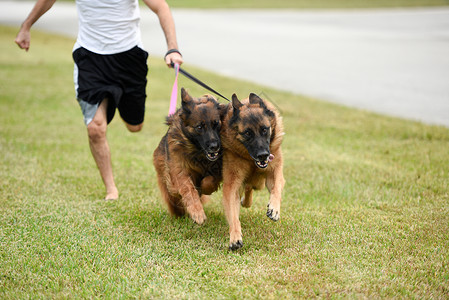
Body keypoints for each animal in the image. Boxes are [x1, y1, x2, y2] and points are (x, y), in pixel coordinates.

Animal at [153, 88, 224, 224]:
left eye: (216, 123)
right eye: (199, 127)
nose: (215, 146)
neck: (198, 153)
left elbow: (210, 180)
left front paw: (205, 188)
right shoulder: (178, 170)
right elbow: (189, 189)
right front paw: (197, 212)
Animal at [220, 92, 284, 250]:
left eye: (264, 129)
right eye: (247, 133)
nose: (263, 155)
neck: (250, 160)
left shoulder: (275, 172)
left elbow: (277, 188)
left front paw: (274, 209)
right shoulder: (231, 185)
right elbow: (233, 213)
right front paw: (235, 236)